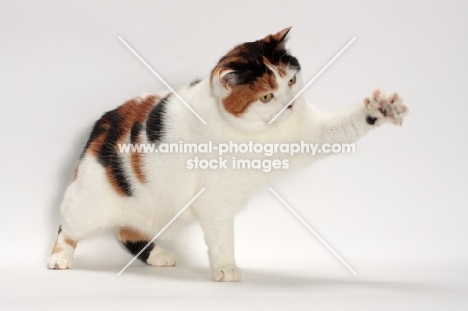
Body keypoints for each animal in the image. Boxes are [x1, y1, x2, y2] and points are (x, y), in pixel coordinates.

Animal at [45, 28, 408, 282]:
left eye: (291, 80)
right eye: (266, 96)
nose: (290, 104)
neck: (256, 133)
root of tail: (102, 123)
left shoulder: (310, 132)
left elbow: (346, 124)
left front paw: (381, 109)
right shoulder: (214, 200)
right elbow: (222, 237)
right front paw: (226, 269)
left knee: (127, 232)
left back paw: (159, 255)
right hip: (88, 203)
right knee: (67, 227)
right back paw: (59, 259)